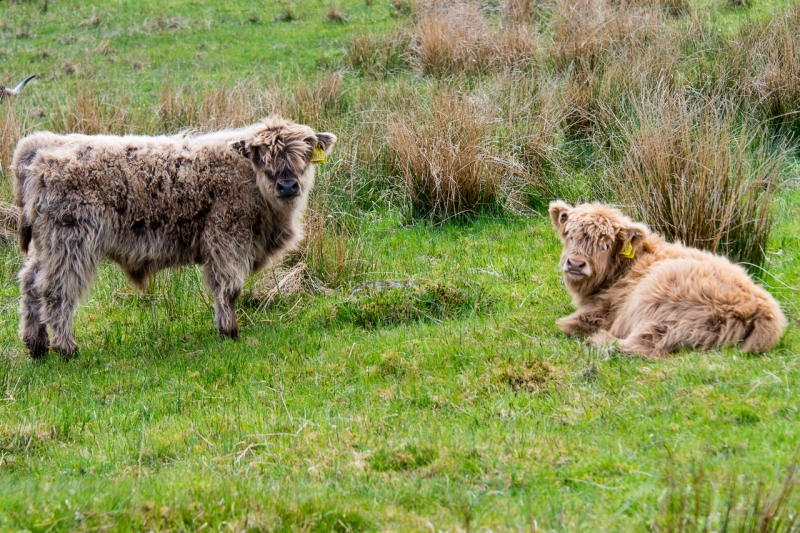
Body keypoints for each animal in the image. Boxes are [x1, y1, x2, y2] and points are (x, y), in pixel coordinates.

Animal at [14, 116, 336, 358]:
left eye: (304, 156)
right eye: (264, 158)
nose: (287, 186)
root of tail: (41, 146)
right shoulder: (227, 238)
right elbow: (229, 288)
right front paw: (229, 332)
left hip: (47, 245)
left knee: (30, 283)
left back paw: (36, 345)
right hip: (69, 241)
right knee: (56, 290)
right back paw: (66, 348)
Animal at [552, 202, 788, 360]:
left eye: (606, 245)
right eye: (571, 236)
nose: (575, 264)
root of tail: (762, 310)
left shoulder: (601, 313)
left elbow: (566, 324)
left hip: (662, 310)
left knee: (643, 346)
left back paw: (598, 341)